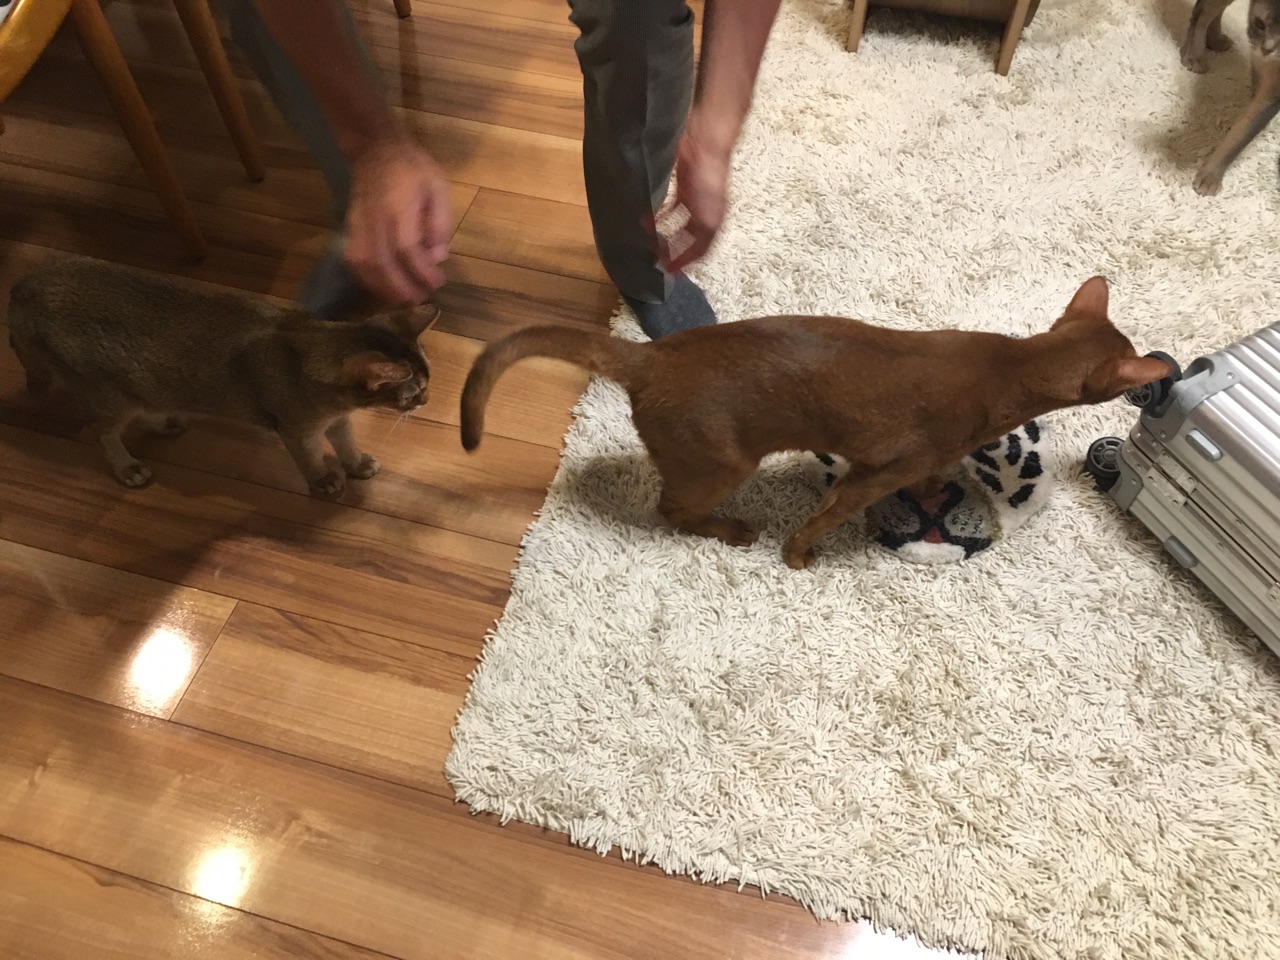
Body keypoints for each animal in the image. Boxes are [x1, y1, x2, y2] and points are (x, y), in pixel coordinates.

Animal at [7, 258, 433, 495]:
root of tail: (24, 286)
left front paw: (357, 464)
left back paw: (165, 422)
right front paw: (324, 480)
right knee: (102, 431)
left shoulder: (338, 421)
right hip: (109, 394)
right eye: (414, 392)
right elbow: (310, 458)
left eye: (426, 387)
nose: (427, 401)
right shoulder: (297, 430)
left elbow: (346, 445)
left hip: (139, 387)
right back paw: (127, 467)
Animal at [460, 276, 1170, 570]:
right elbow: (821, 520)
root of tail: (652, 356)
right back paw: (732, 530)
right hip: (720, 465)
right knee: (672, 510)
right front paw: (800, 557)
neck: (1009, 364)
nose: (1163, 370)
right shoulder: (870, 477)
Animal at [1181, 0, 1280, 195]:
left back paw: (1215, 40)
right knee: (1201, 12)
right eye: (1259, 24)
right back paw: (1194, 56)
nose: (1266, 50)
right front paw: (1210, 176)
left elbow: (1245, 128)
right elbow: (1241, 136)